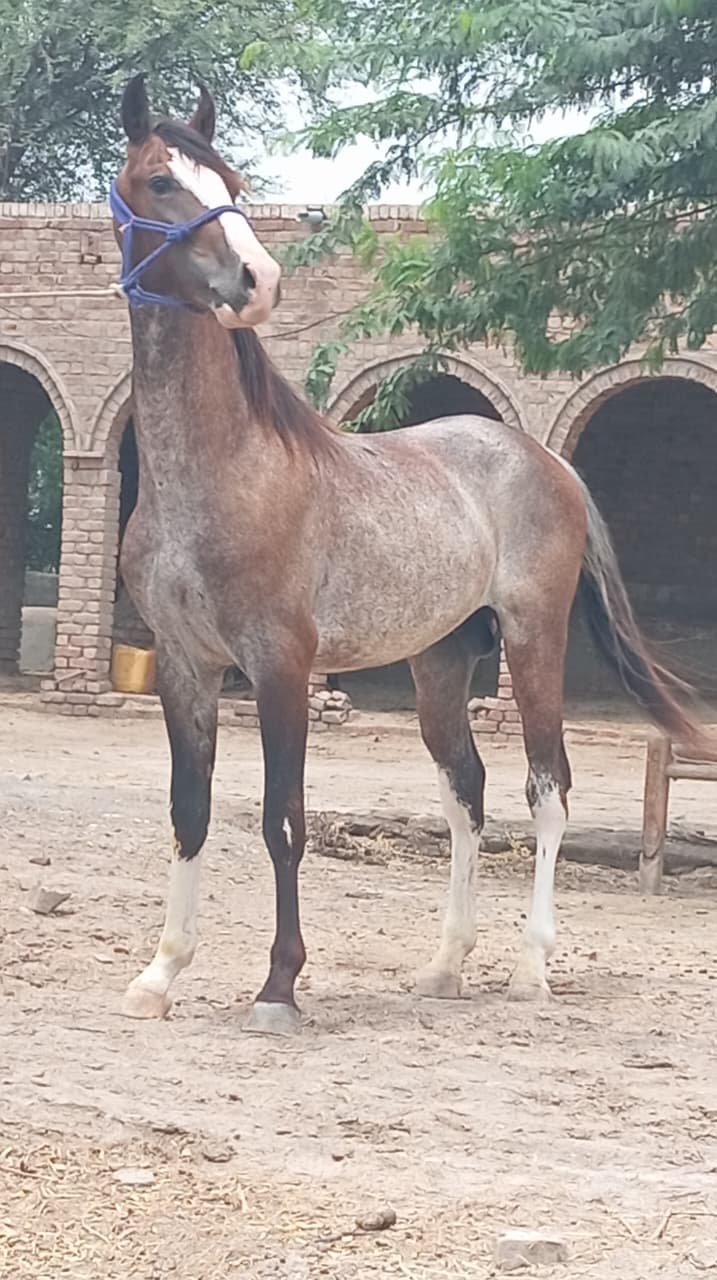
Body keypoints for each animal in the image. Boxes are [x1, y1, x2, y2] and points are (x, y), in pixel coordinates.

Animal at [112, 74, 700, 1035]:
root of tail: (546, 461)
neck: (219, 468)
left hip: (532, 643)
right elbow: (188, 813)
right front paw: (160, 975)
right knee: (467, 793)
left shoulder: (280, 667)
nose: (258, 280)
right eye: (162, 181)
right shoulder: (185, 668)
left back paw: (530, 970)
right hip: (440, 663)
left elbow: (282, 819)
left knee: (546, 786)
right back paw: (445, 966)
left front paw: (278, 987)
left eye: (230, 179)